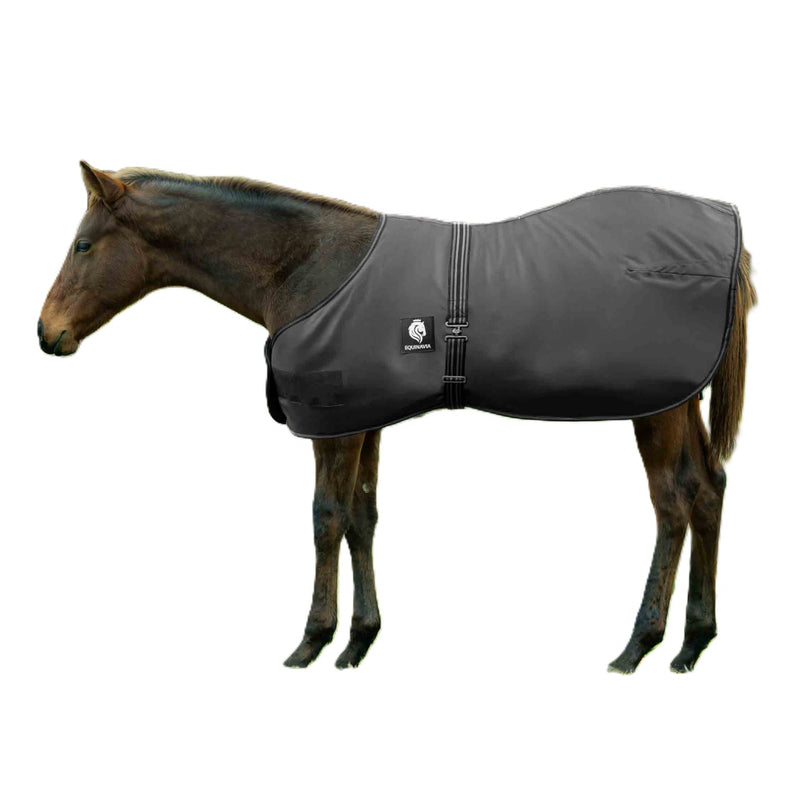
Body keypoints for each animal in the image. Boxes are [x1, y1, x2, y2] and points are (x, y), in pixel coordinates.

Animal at [38, 162, 756, 672]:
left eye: (82, 245)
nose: (48, 333)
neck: (306, 265)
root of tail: (731, 242)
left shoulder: (332, 426)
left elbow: (325, 518)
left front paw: (312, 640)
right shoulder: (366, 420)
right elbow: (363, 516)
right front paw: (360, 640)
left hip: (657, 407)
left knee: (673, 502)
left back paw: (639, 644)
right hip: (682, 402)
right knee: (710, 491)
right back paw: (694, 642)